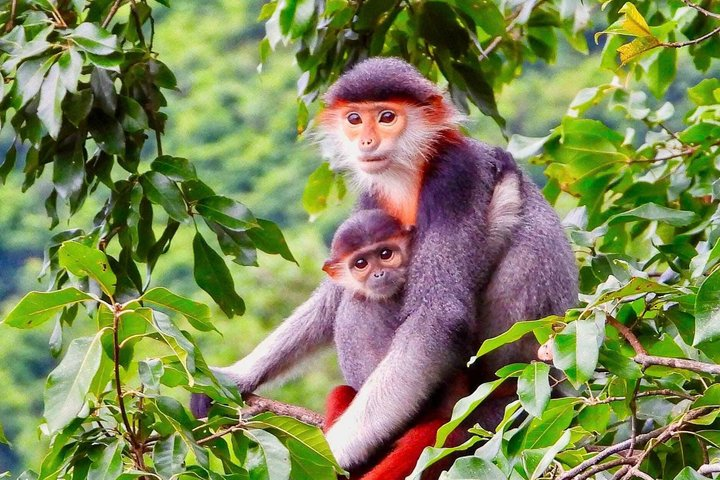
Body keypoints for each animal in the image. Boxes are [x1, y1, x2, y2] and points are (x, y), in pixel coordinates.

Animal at [192, 57, 578, 472]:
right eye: (355, 119)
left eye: (387, 117)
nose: (366, 141)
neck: (413, 169)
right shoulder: (373, 197)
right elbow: (334, 293)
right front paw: (235, 376)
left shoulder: (455, 178)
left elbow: (438, 315)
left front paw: (336, 453)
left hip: (485, 403)